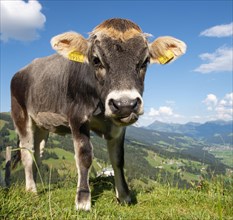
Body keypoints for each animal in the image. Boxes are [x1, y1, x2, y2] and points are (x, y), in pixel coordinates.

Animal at [10, 18, 186, 210]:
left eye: (145, 61)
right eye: (96, 60)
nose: (125, 104)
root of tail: (22, 70)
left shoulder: (119, 126)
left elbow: (118, 159)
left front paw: (124, 196)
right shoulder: (77, 117)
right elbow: (84, 156)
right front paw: (83, 200)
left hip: (42, 124)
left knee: (38, 153)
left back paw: (39, 185)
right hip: (20, 115)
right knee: (27, 152)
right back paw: (31, 191)